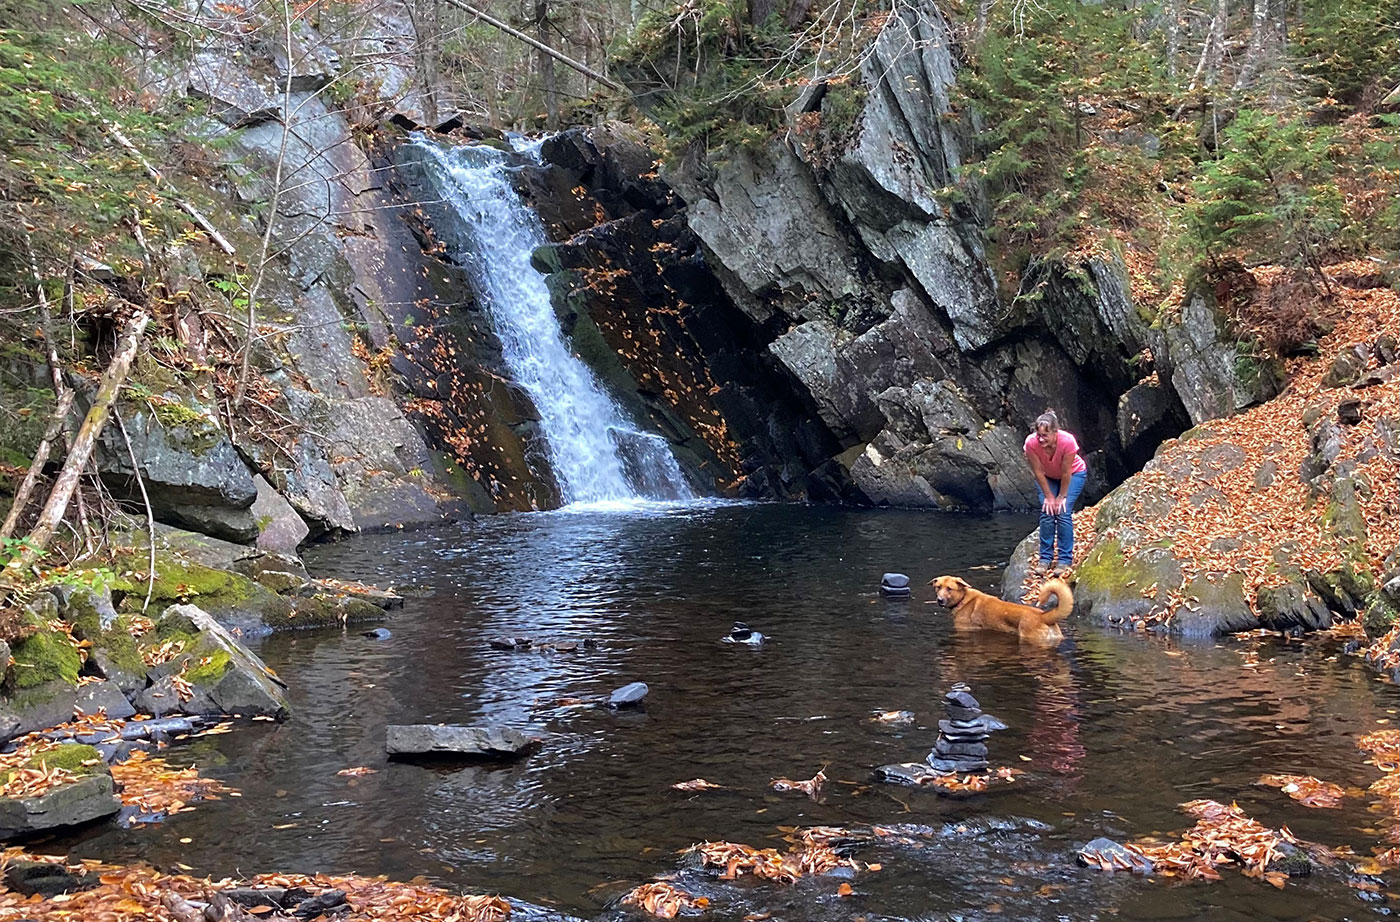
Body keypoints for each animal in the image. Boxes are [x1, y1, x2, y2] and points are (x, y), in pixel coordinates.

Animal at [929, 573, 1069, 646]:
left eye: (949, 588)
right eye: (938, 587)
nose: (939, 600)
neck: (963, 599)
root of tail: (1044, 616)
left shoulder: (964, 629)